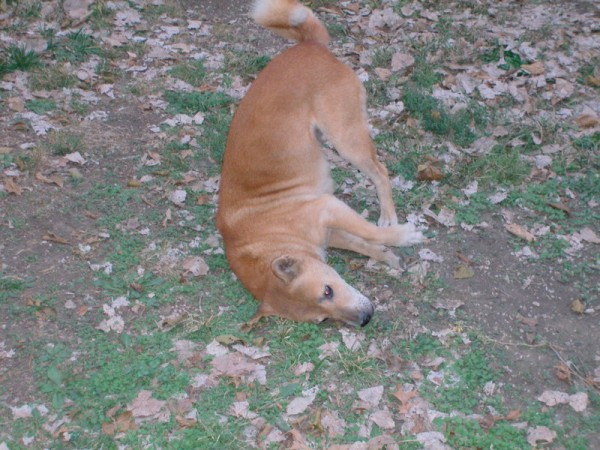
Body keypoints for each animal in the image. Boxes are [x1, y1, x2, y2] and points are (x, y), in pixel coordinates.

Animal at [216, 0, 422, 326]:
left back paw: (389, 215)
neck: (266, 237)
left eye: (327, 291)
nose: (364, 319)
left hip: (346, 139)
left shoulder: (328, 207)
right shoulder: (328, 229)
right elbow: (361, 242)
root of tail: (308, 45)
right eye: (323, 318)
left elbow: (369, 231)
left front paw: (401, 236)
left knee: (380, 171)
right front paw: (386, 254)